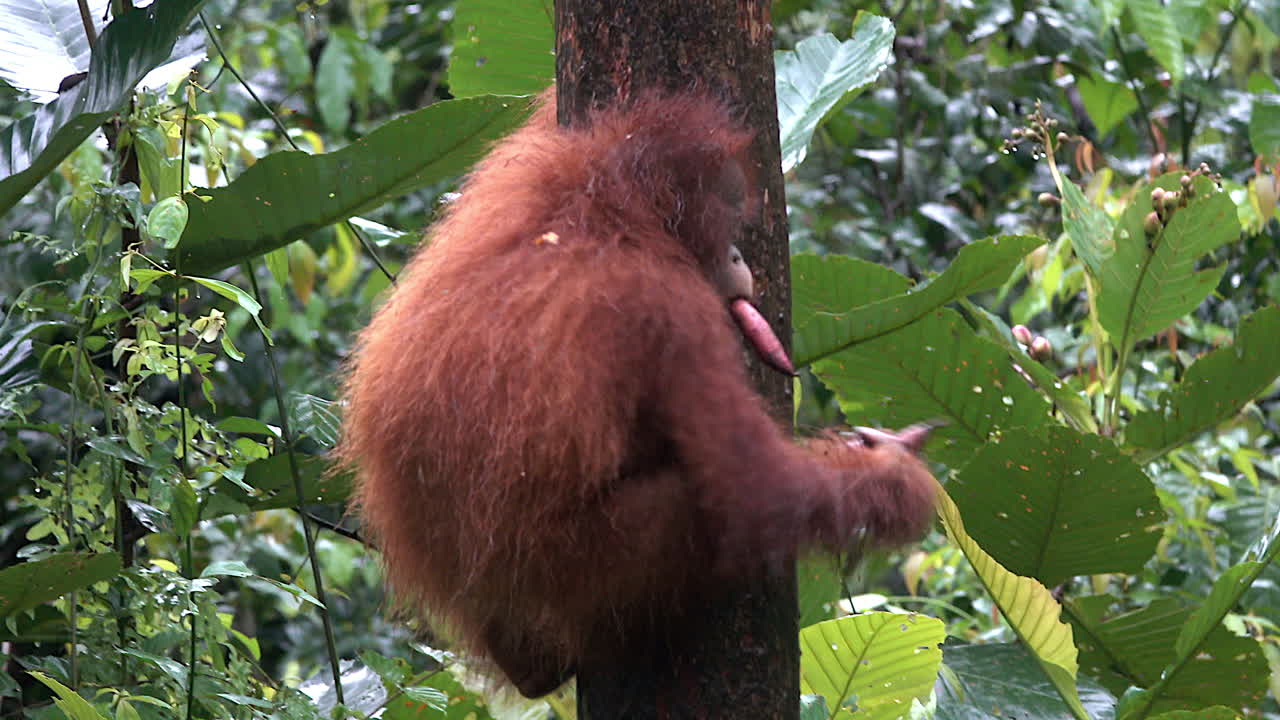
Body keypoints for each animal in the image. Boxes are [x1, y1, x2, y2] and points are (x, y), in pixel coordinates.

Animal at [337, 90, 937, 698]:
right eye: (730, 216)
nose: (741, 259)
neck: (609, 212)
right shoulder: (678, 310)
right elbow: (753, 482)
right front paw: (897, 480)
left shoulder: (527, 172)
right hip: (578, 564)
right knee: (699, 501)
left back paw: (529, 667)